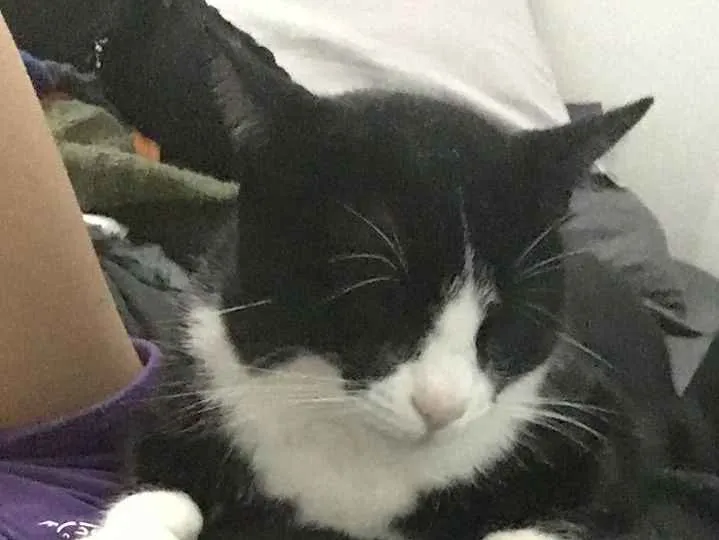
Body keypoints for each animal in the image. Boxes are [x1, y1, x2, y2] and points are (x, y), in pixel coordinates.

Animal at [90, 2, 716, 540]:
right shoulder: (188, 380)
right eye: (375, 297)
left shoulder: (594, 420)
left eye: (508, 315)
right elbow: (157, 481)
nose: (442, 408)